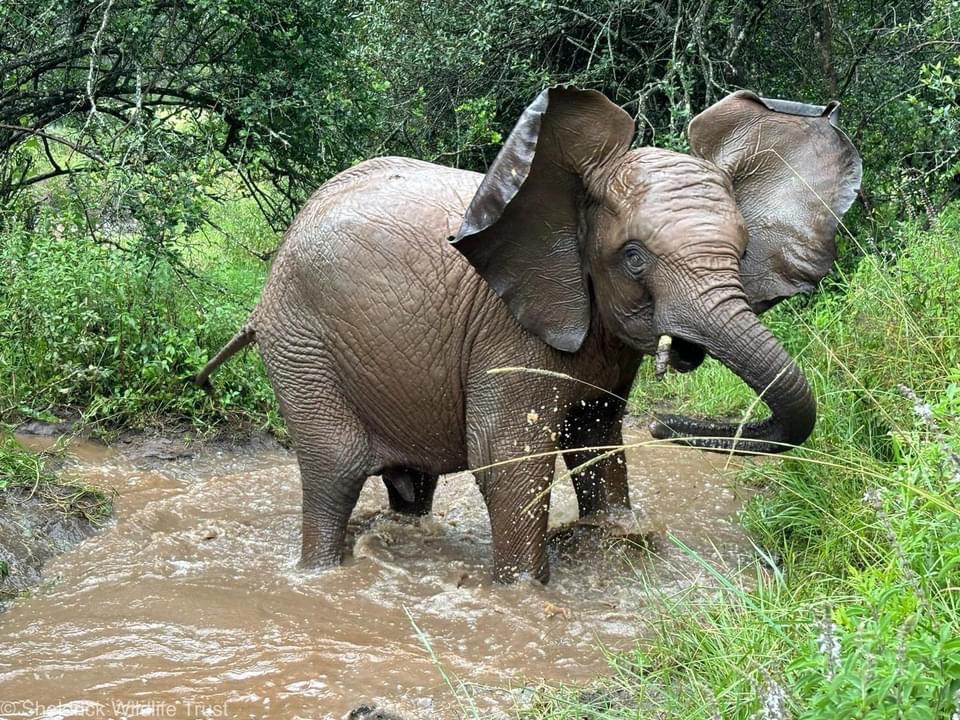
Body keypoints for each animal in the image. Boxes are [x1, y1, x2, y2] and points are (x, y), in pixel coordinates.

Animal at [195, 87, 864, 584]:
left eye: (744, 251)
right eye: (634, 258)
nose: (666, 426)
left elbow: (596, 439)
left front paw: (615, 532)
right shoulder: (506, 326)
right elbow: (508, 459)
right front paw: (523, 590)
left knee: (410, 483)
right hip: (300, 344)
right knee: (333, 473)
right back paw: (320, 574)